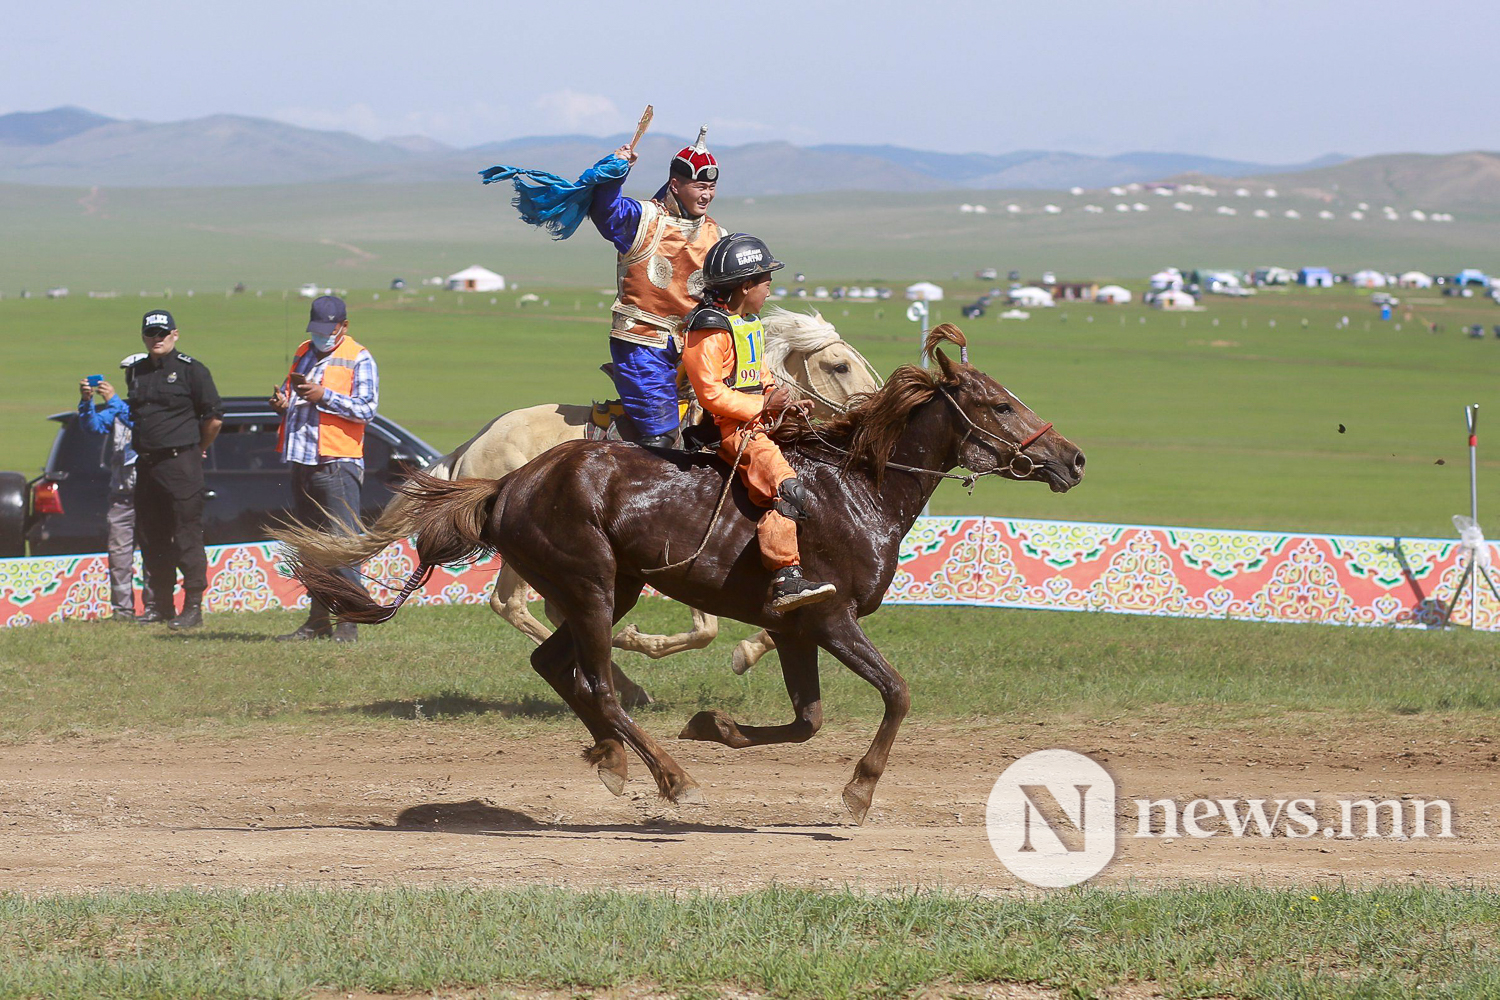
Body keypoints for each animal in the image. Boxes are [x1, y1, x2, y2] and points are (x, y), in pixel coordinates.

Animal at [289, 326, 1092, 821]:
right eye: (999, 404)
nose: (1074, 457)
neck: (856, 488)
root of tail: (507, 480)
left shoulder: (793, 628)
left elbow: (806, 721)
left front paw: (717, 724)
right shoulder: (830, 618)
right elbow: (895, 693)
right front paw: (858, 793)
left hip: (612, 587)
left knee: (556, 665)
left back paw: (615, 758)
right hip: (589, 586)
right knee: (594, 682)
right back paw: (669, 777)